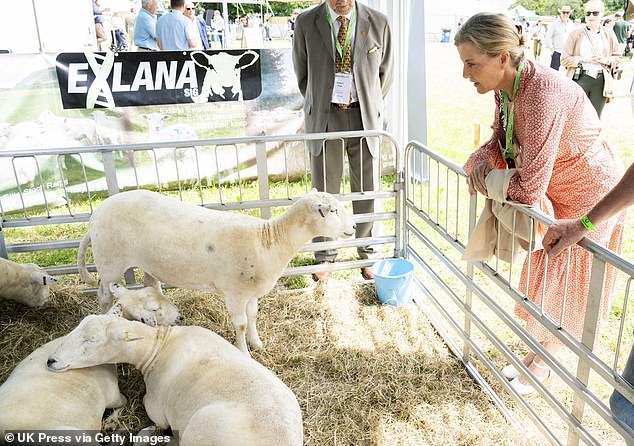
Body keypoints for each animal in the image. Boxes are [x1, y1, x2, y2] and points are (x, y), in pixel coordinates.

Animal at [46, 314, 302, 446]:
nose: (51, 360)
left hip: (197, 431)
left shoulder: (156, 407)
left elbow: (156, 418)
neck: (159, 346)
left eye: (91, 340)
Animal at [76, 189, 354, 356]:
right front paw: (244, 352)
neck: (268, 241)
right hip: (110, 263)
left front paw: (257, 343)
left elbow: (253, 316)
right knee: (104, 294)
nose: (352, 227)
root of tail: (94, 216)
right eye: (333, 211)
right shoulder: (234, 293)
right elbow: (241, 324)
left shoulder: (250, 292)